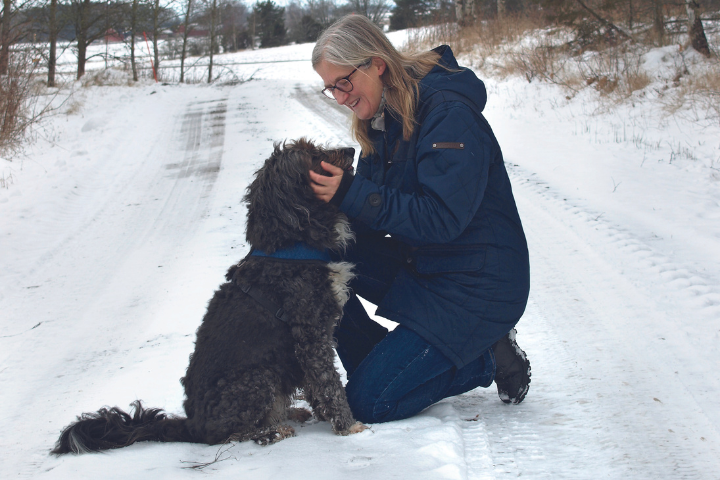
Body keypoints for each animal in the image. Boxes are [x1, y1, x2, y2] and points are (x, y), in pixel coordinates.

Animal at [52, 139, 362, 454]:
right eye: (311, 154)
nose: (351, 150)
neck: (289, 244)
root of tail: (193, 423)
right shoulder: (310, 334)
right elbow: (328, 381)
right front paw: (348, 426)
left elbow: (315, 385)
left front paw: (327, 417)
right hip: (257, 377)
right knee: (229, 434)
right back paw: (273, 431)